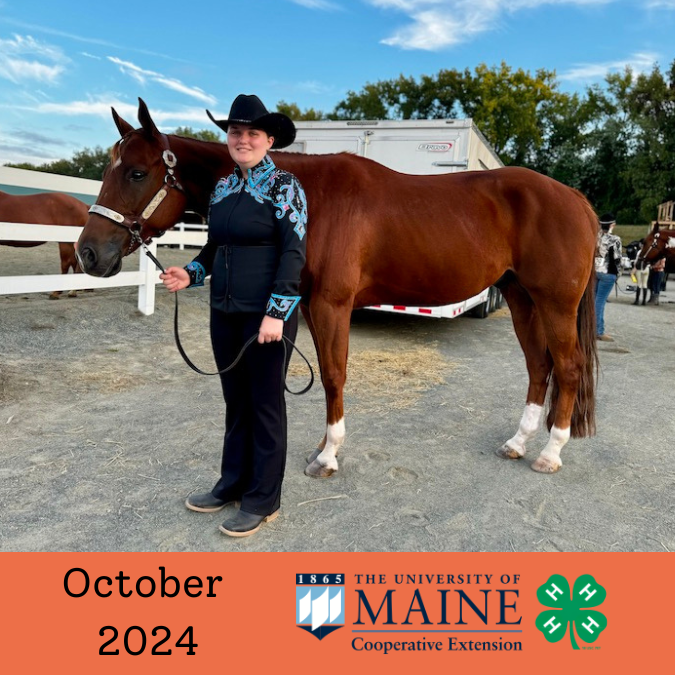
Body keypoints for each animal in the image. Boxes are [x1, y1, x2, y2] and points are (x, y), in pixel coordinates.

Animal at [76, 101, 600, 480]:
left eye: (137, 173)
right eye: (108, 170)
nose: (88, 254)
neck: (312, 198)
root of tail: (576, 199)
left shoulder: (331, 306)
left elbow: (333, 376)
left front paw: (327, 456)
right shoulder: (305, 305)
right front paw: (319, 449)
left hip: (553, 302)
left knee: (568, 368)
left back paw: (550, 452)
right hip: (520, 297)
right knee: (539, 366)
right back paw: (518, 443)